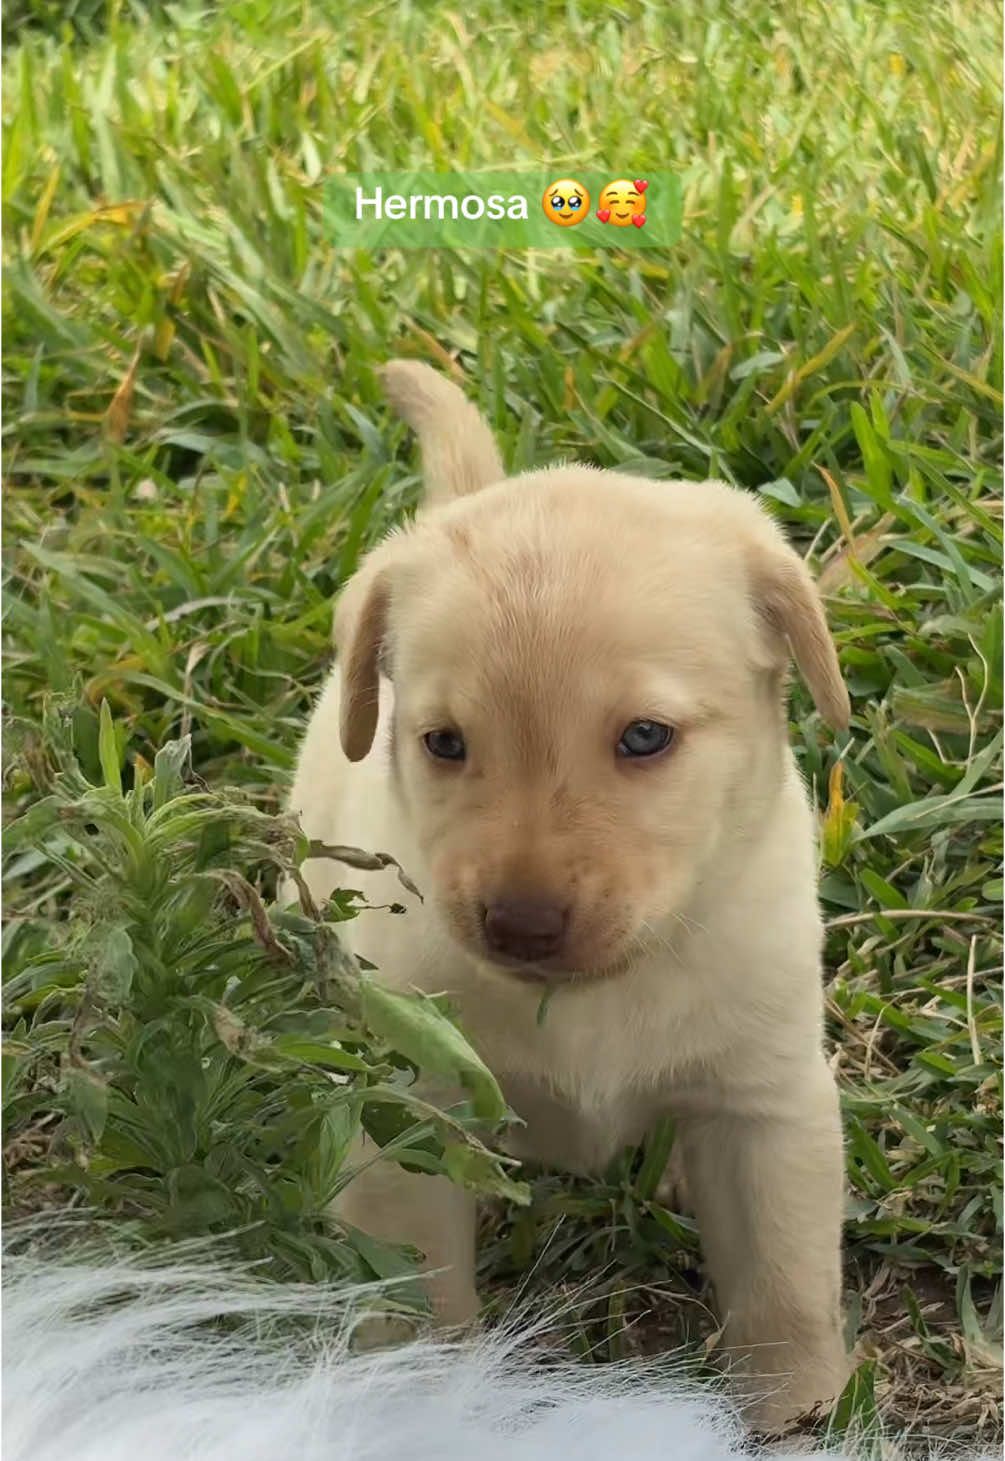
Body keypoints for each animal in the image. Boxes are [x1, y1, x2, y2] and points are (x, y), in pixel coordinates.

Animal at [286, 359, 853, 1431]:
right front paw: (423, 1409)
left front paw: (801, 1412)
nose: (519, 923)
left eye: (644, 737)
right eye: (443, 742)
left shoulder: (768, 1109)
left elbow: (784, 1287)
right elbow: (419, 1297)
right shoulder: (412, 1118)